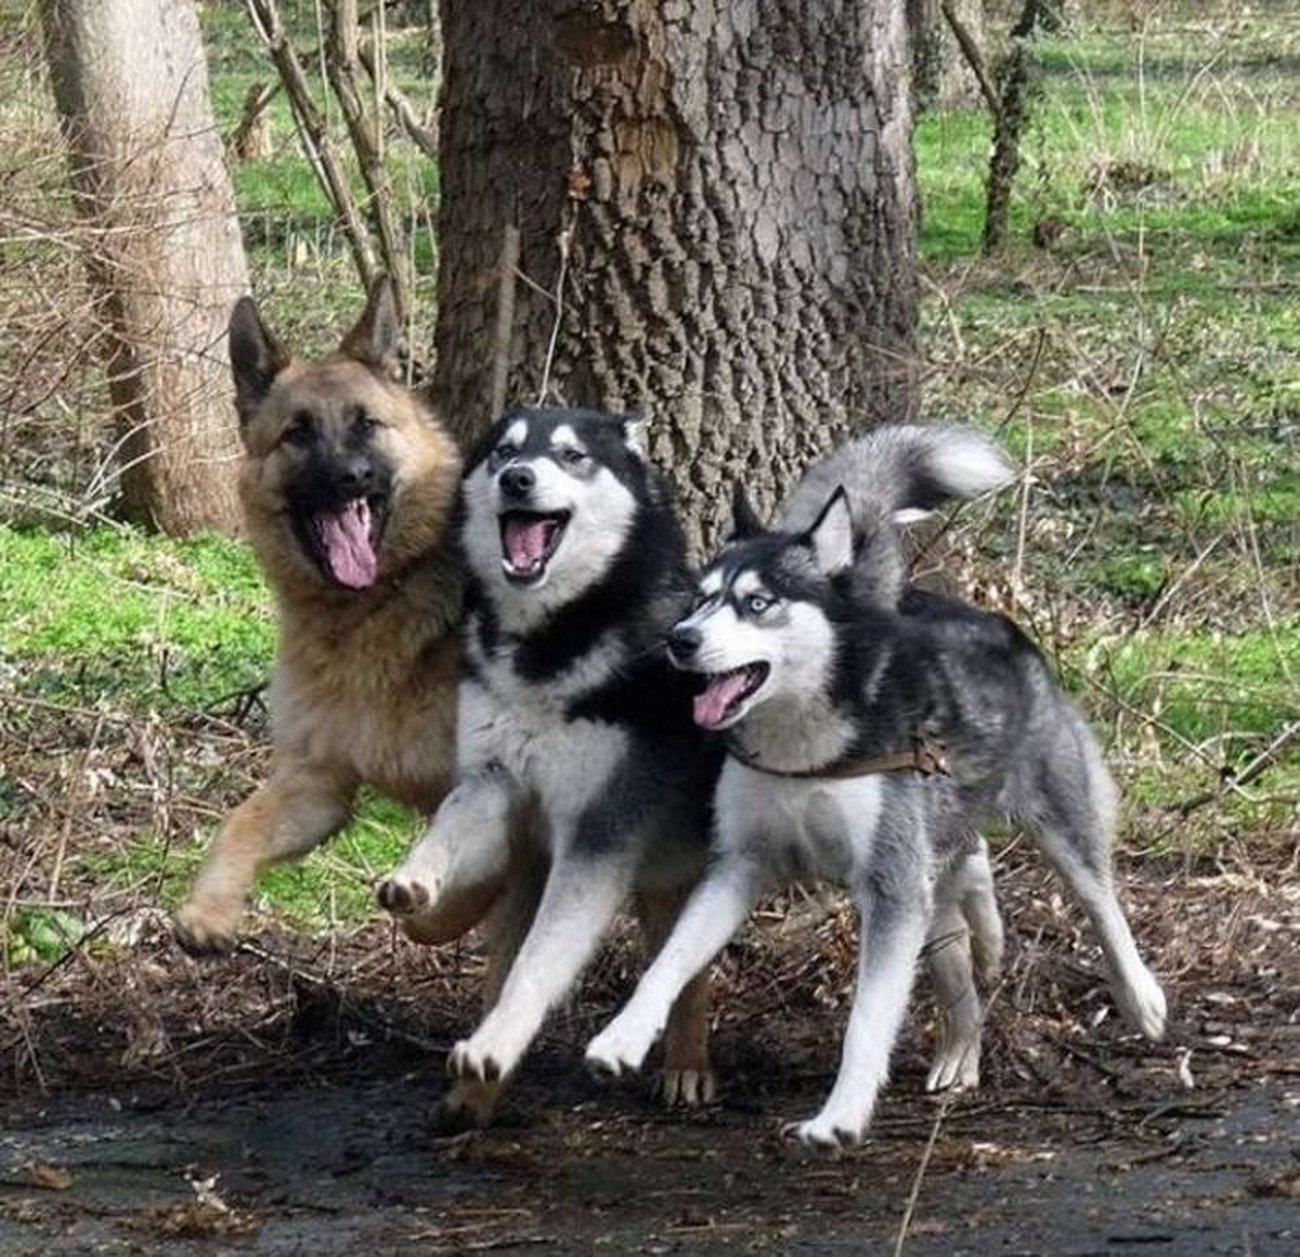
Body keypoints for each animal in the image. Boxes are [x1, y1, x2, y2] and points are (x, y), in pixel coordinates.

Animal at [173, 279, 471, 955]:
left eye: (367, 425)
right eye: (297, 434)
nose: (350, 477)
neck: (372, 606)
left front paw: (430, 913)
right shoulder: (314, 787)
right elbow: (237, 824)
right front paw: (209, 911)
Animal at [585, 425, 1167, 1147]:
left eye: (757, 603)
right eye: (700, 599)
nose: (680, 639)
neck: (805, 742)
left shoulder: (890, 887)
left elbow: (867, 1020)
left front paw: (840, 1115)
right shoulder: (739, 866)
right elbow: (670, 961)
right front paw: (622, 1037)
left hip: (1049, 815)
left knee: (1098, 896)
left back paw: (1140, 996)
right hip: (931, 874)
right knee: (965, 888)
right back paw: (965, 1027)